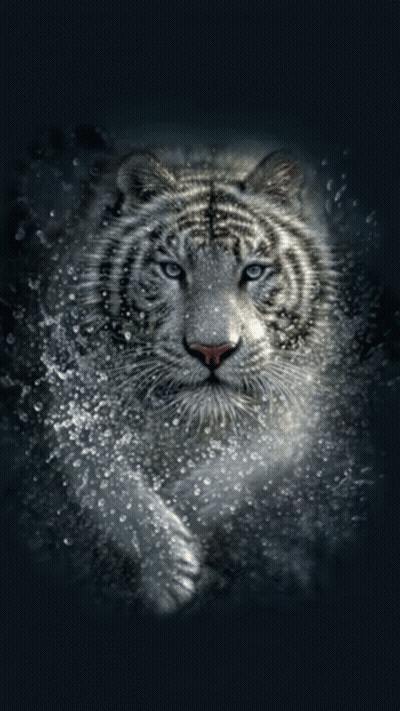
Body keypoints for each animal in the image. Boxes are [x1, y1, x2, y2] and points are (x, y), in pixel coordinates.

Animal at [3, 127, 389, 614]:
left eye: (253, 272)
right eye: (172, 270)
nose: (212, 351)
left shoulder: (293, 414)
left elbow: (232, 472)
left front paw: (186, 518)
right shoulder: (76, 409)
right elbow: (118, 490)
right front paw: (169, 572)